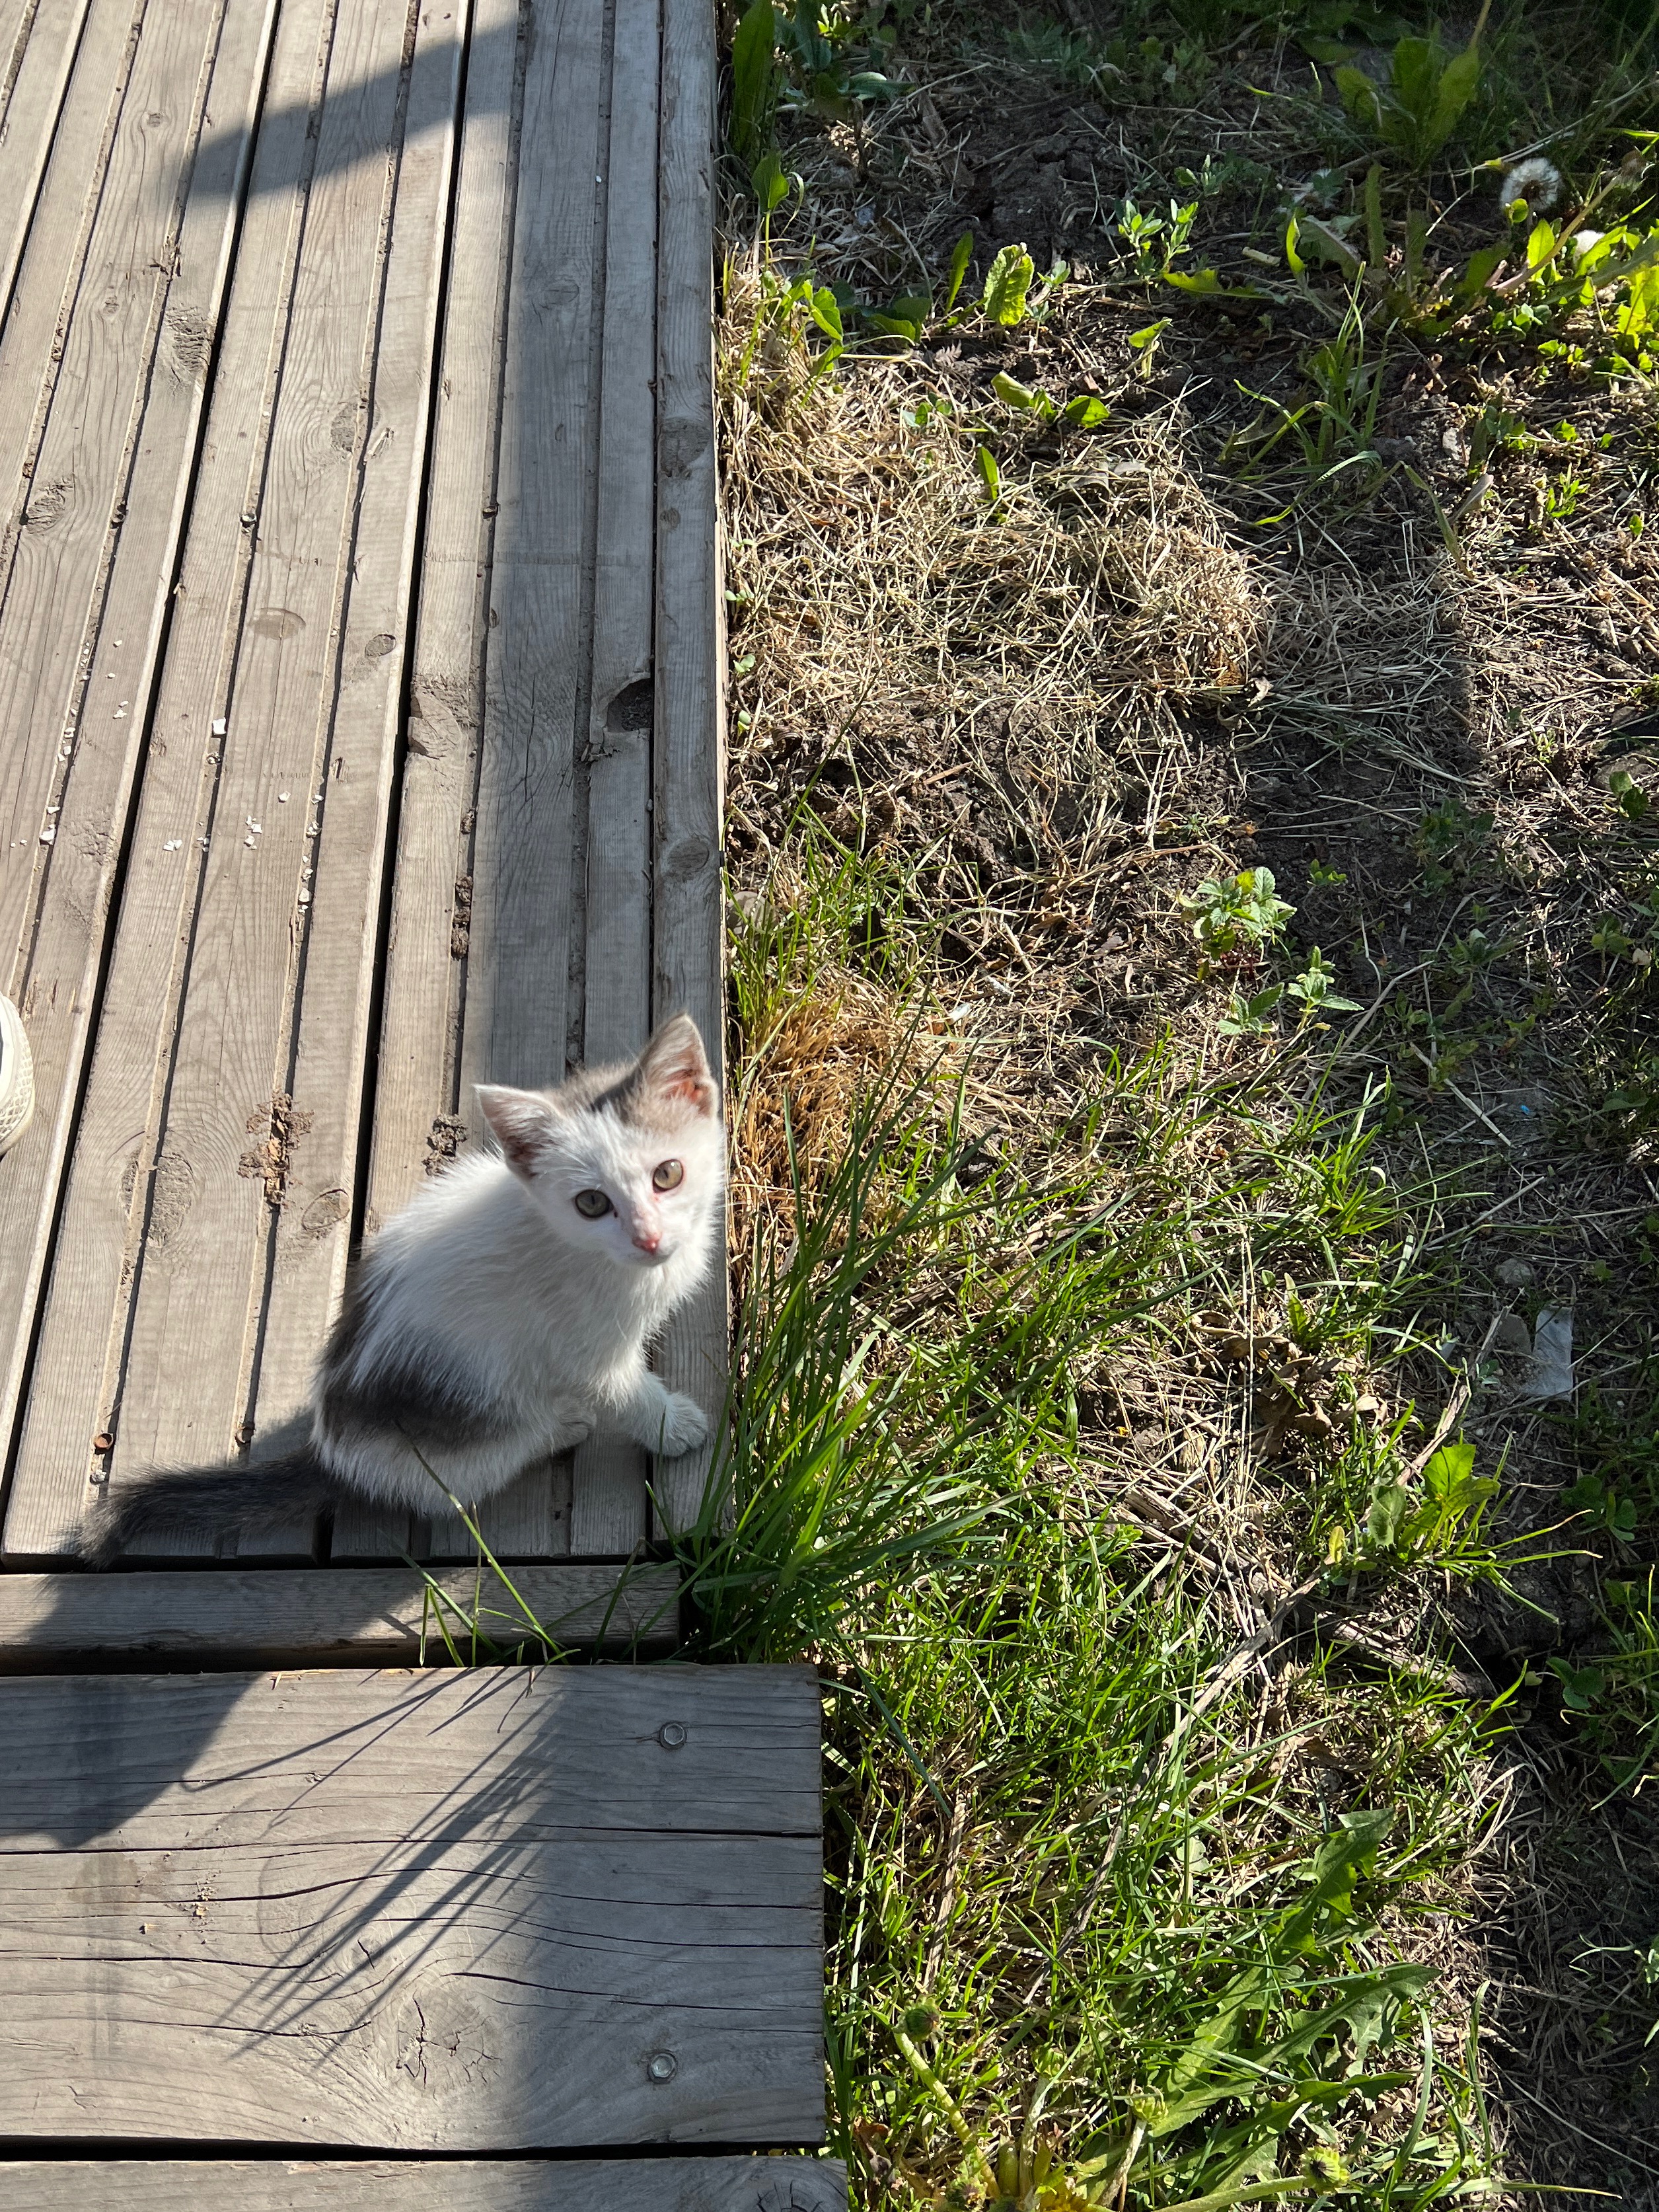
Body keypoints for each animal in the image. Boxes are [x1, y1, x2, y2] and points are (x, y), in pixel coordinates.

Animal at [83, 1012, 721, 1566]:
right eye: (591, 1203)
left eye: (667, 1174)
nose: (648, 1238)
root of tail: (334, 1454)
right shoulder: (582, 1349)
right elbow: (626, 1393)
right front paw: (672, 1425)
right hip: (474, 1437)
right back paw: (560, 1426)